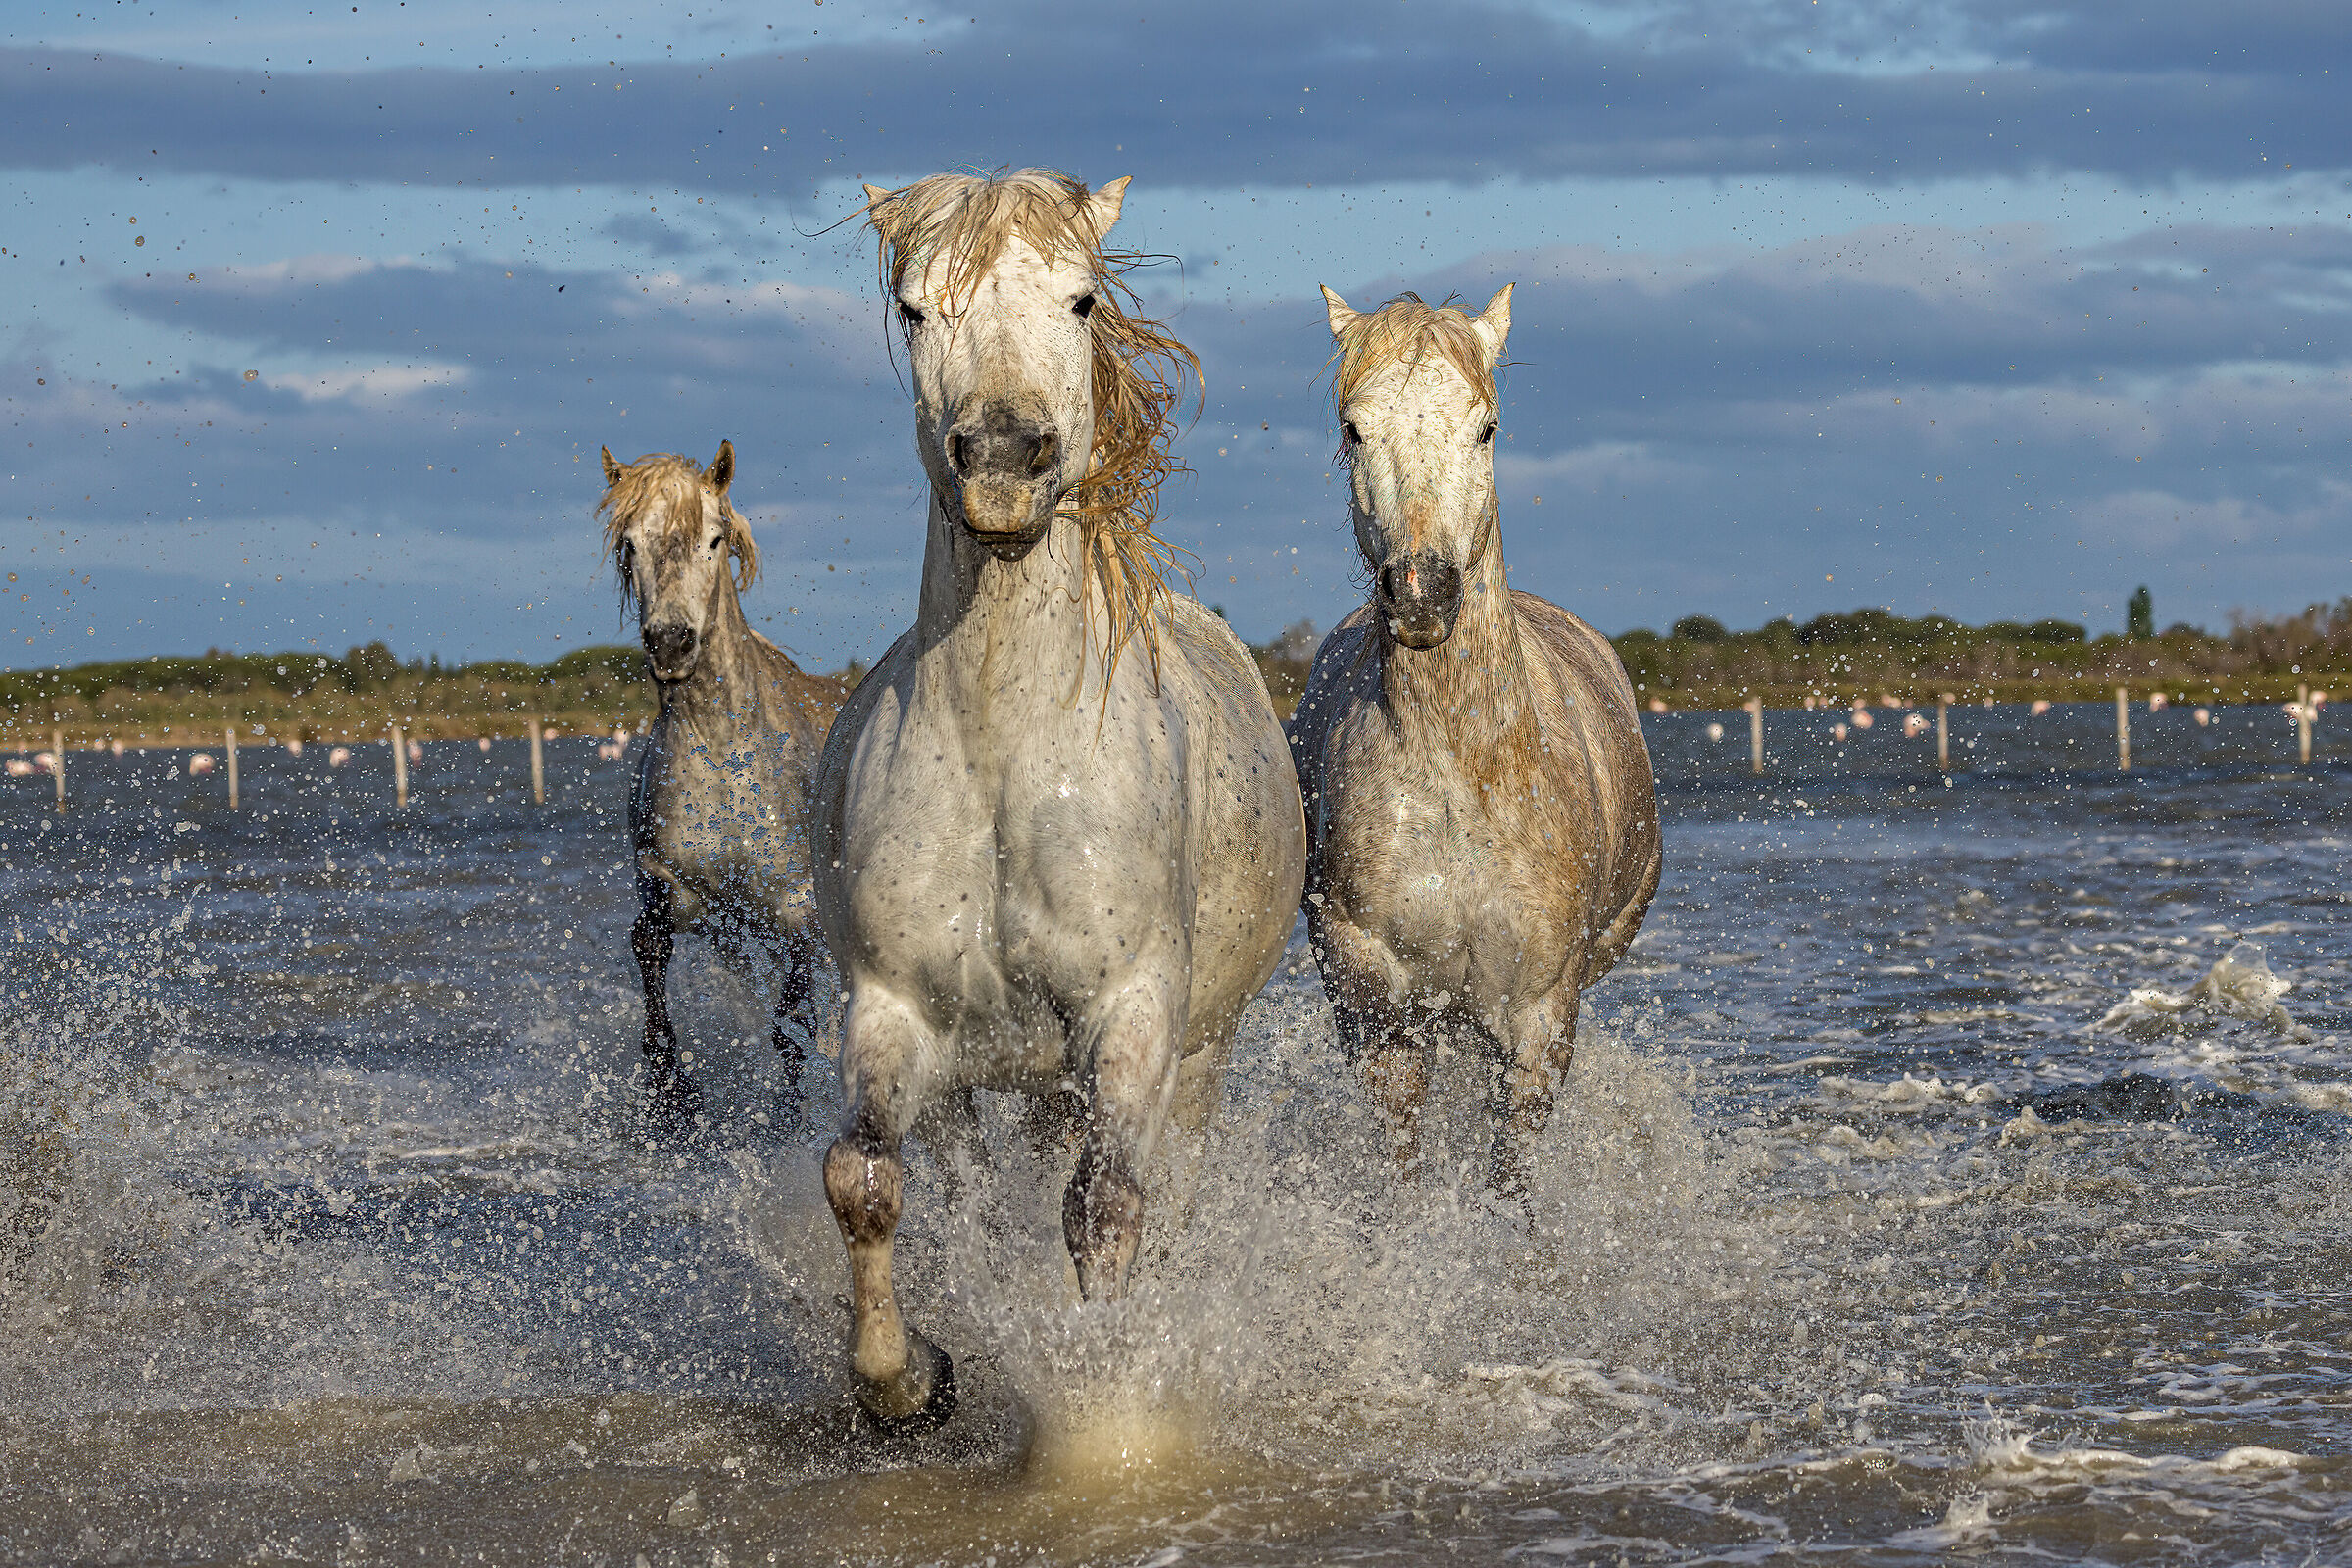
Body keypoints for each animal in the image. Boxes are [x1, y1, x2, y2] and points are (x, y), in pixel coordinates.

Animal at [597, 443, 848, 1137]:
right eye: (630, 543)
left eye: (714, 538)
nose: (671, 643)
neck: (723, 757)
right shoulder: (671, 892)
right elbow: (649, 965)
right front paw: (673, 1101)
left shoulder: (797, 912)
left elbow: (792, 1030)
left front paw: (792, 1126)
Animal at [812, 169, 1306, 1428]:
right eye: (913, 310)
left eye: (1081, 299)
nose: (1000, 460)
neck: (1006, 754)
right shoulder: (892, 1009)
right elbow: (862, 1180)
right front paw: (909, 1380)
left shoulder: (1131, 1016)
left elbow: (1107, 1207)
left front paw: (1103, 1398)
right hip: (985, 1079)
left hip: (1195, 1055)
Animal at [1285, 288, 1661, 1195]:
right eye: (1354, 427)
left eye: (1486, 427)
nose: (1422, 592)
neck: (1464, 781)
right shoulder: (1381, 1012)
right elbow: (1402, 1162)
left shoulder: (1538, 1026)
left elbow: (1510, 1179)